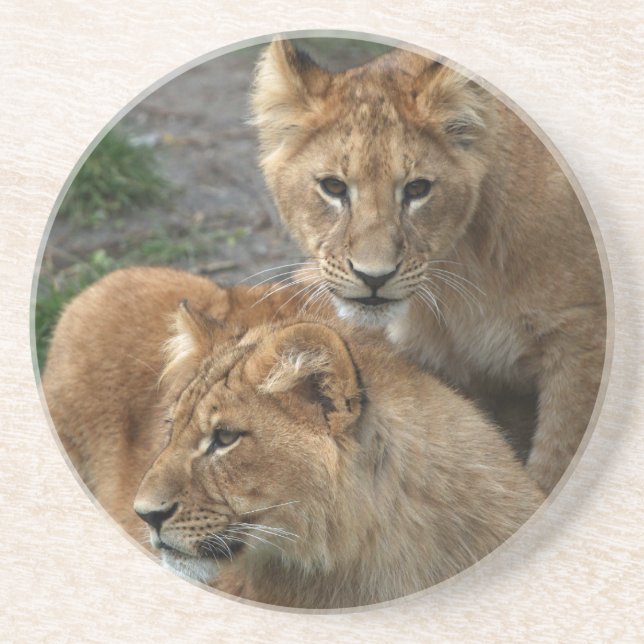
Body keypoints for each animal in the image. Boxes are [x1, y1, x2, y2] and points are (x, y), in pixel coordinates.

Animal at [251, 39, 607, 492]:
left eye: (417, 189)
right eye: (333, 187)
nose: (373, 276)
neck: (462, 272)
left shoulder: (582, 344)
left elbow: (553, 464)